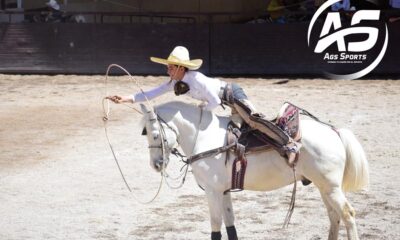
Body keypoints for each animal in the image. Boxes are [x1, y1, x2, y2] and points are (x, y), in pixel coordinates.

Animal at [140, 101, 368, 240]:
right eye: (145, 132)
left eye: (153, 133)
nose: (156, 164)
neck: (203, 137)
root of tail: (334, 131)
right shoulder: (223, 191)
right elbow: (230, 223)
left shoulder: (213, 192)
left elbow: (216, 226)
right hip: (325, 188)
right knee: (334, 216)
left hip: (331, 188)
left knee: (347, 214)